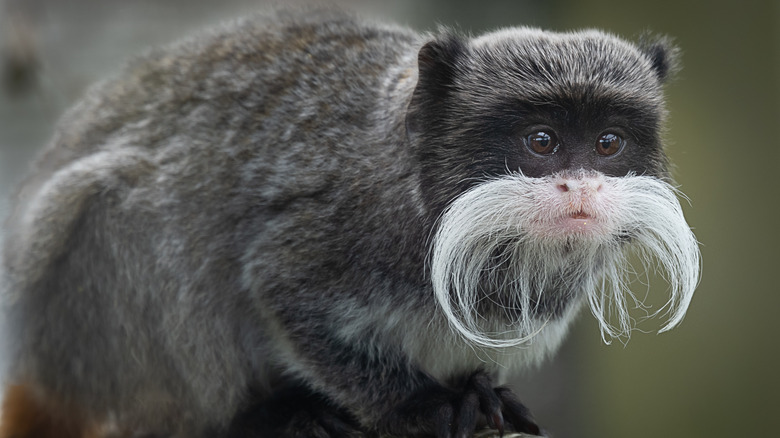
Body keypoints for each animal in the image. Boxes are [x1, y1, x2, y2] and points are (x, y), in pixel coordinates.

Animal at [0, 7, 696, 438]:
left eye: (607, 144)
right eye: (543, 142)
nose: (583, 187)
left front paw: (477, 392)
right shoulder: (339, 225)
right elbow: (281, 290)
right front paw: (420, 402)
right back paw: (263, 414)